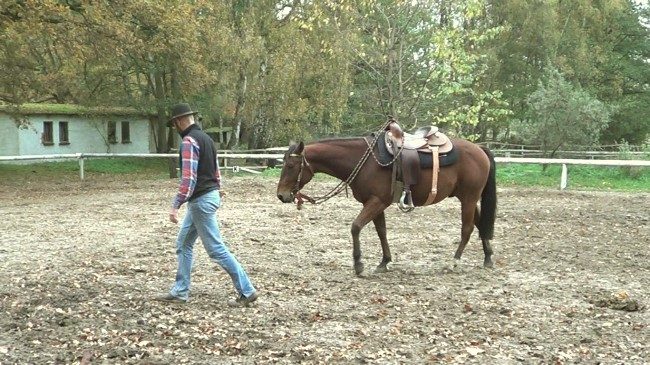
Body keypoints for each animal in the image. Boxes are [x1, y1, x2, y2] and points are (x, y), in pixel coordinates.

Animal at [274, 126, 496, 274]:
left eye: (291, 166)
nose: (281, 195)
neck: (364, 161)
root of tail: (480, 149)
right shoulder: (374, 203)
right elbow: (381, 231)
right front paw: (384, 261)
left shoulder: (377, 201)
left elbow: (356, 226)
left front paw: (359, 264)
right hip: (467, 197)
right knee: (480, 224)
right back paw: (487, 258)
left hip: (468, 198)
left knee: (467, 228)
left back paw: (455, 261)